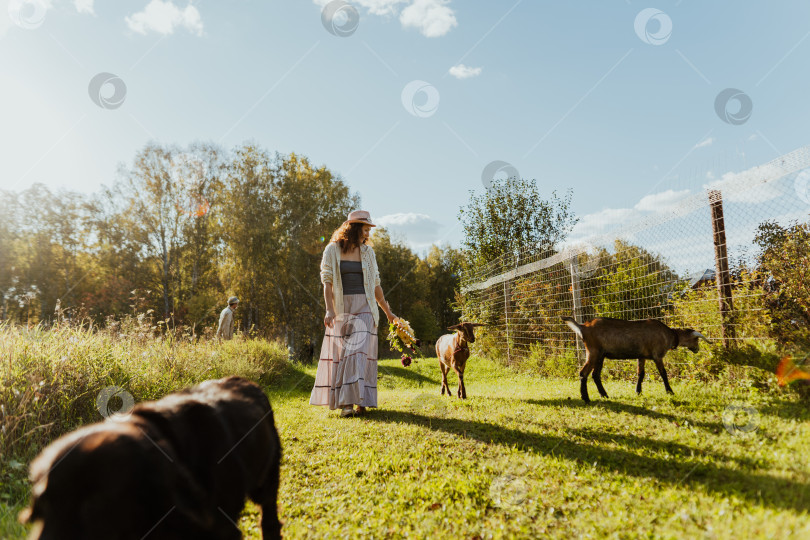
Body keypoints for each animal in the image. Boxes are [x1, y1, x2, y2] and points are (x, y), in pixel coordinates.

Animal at [560, 318, 708, 402]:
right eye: (697, 340)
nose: (697, 349)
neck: (670, 335)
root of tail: (583, 327)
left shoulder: (641, 356)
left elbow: (640, 374)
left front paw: (638, 391)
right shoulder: (657, 356)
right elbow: (663, 373)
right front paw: (670, 391)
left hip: (600, 355)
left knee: (595, 375)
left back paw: (604, 395)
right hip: (593, 352)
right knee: (583, 373)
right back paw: (586, 398)